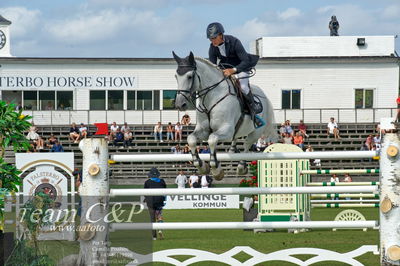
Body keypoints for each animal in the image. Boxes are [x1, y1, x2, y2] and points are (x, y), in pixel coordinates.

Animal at [172, 51, 278, 181]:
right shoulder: (203, 130)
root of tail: (265, 96)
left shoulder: (226, 130)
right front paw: (202, 166)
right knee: (237, 138)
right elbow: (191, 139)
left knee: (247, 144)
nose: (179, 104)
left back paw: (241, 167)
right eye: (176, 76)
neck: (211, 98)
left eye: (190, 76)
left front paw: (216, 170)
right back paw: (232, 150)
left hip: (256, 131)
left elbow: (212, 139)